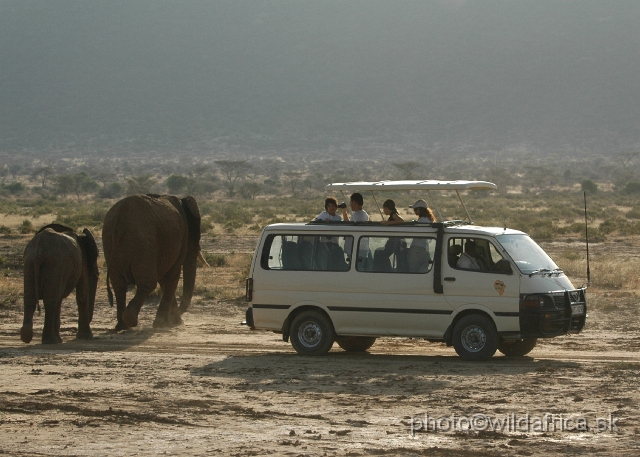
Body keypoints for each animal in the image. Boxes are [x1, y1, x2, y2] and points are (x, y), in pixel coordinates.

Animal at [102, 194, 204, 330]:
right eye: (197, 234)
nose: (181, 319)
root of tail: (120, 217)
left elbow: (164, 279)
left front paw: (174, 322)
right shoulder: (182, 239)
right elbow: (172, 275)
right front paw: (163, 324)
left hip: (109, 242)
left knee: (119, 285)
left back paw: (122, 326)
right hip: (144, 243)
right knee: (148, 283)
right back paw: (130, 320)